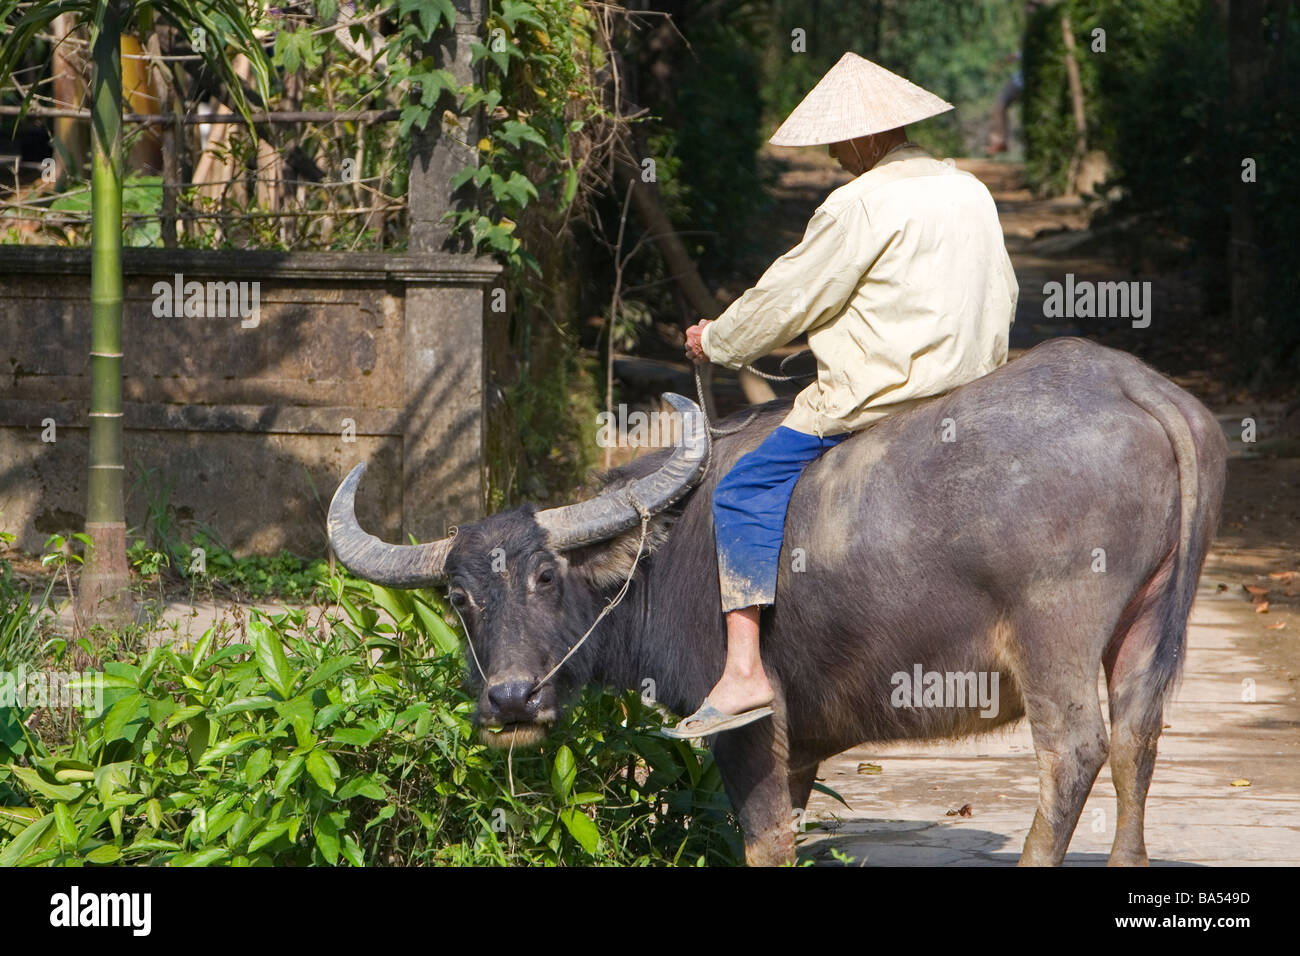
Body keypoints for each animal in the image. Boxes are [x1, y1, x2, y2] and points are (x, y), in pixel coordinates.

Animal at [330, 340, 1222, 868]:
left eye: (547, 577)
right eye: (458, 597)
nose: (511, 698)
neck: (663, 551)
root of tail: (1139, 391)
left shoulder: (749, 732)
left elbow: (760, 843)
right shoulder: (801, 748)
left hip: (1053, 638)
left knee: (1074, 750)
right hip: (1148, 626)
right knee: (1137, 739)